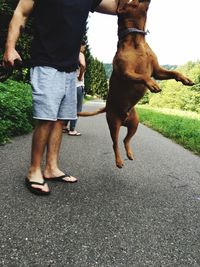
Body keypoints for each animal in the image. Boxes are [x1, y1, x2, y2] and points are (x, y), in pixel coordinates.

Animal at [79, 0, 194, 168]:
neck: (136, 40)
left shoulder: (158, 71)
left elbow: (174, 73)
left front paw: (185, 79)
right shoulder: (126, 73)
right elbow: (142, 76)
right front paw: (152, 84)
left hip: (134, 124)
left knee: (126, 140)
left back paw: (129, 153)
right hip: (113, 123)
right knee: (115, 143)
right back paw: (119, 160)